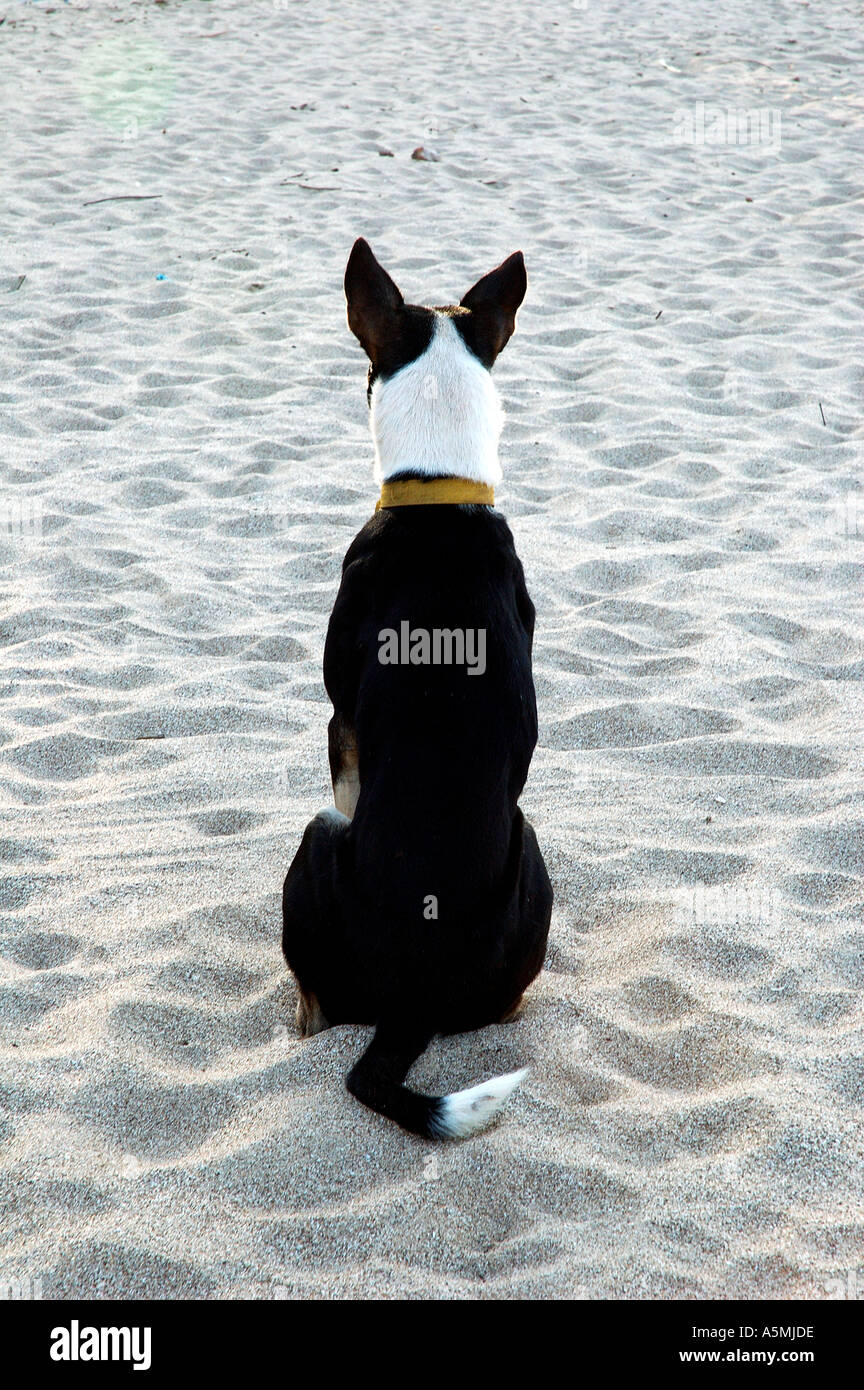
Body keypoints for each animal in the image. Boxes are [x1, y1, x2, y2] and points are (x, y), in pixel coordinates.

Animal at [284, 239, 555, 1139]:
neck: (438, 485)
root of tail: (416, 1000)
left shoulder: (340, 723)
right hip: (532, 847)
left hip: (318, 838)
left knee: (318, 1005)